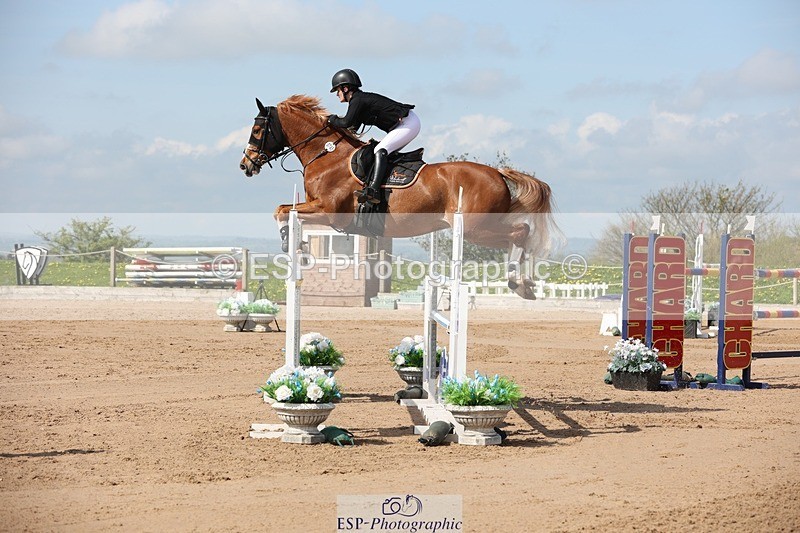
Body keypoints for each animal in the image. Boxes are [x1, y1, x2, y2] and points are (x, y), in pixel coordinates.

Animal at [239, 95, 556, 299]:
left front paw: (290, 243)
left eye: (257, 129)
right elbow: (285, 209)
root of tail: (499, 174)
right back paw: (524, 283)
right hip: (478, 228)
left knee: (520, 232)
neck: (327, 155)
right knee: (518, 235)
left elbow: (282, 210)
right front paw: (300, 248)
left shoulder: (330, 212)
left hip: (475, 228)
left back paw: (518, 281)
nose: (245, 165)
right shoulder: (320, 211)